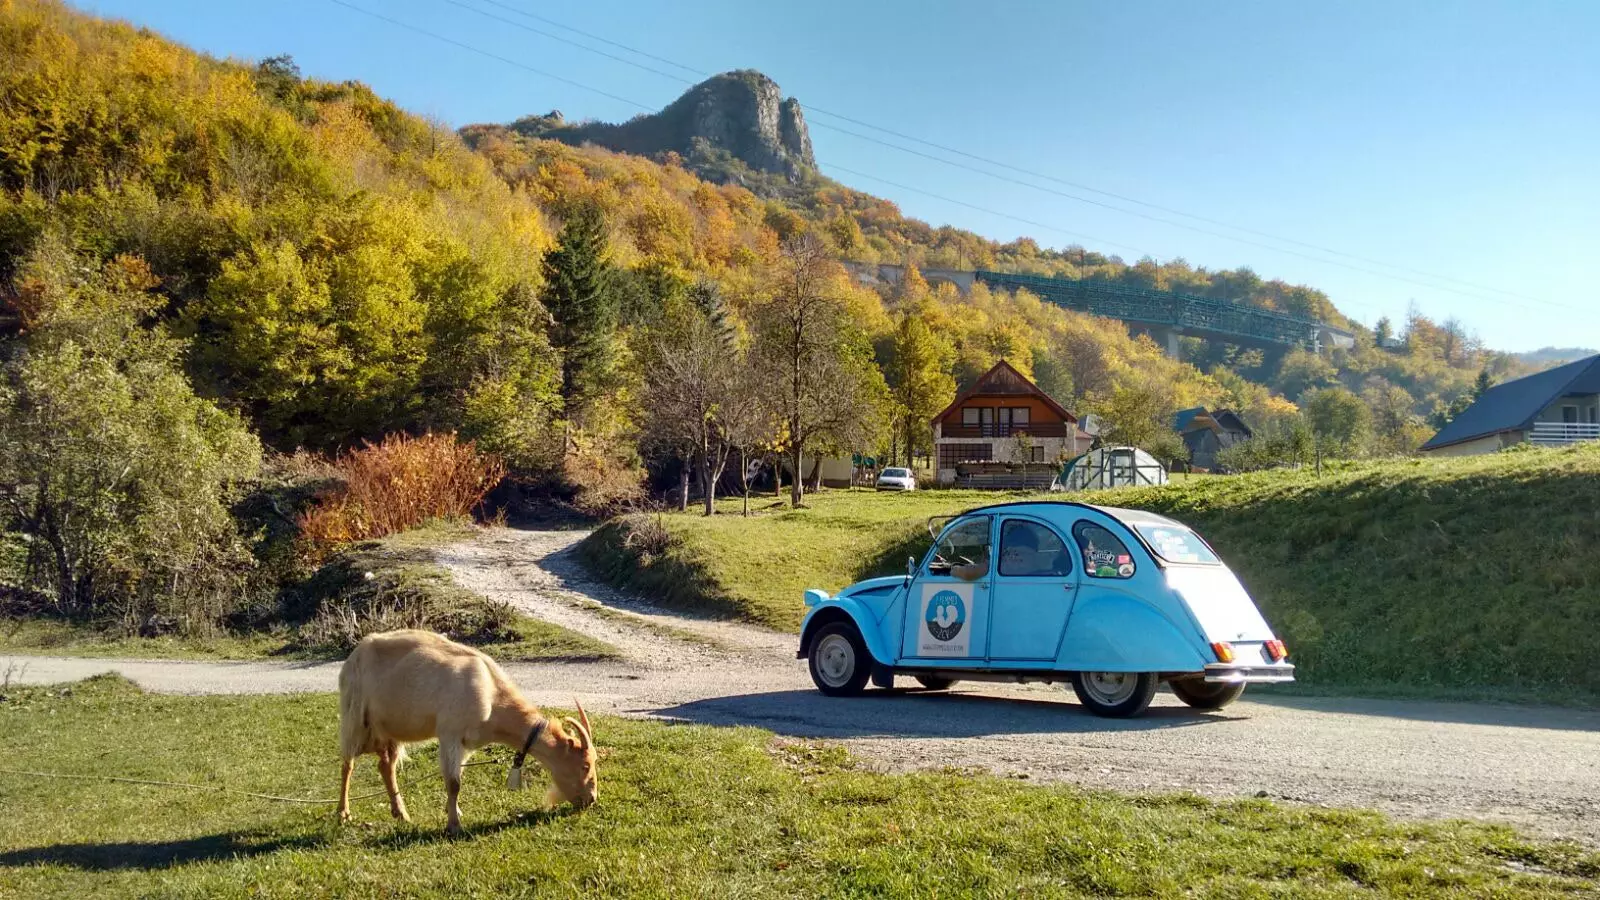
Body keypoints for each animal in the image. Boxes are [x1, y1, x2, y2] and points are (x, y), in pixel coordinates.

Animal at [334, 627, 598, 832]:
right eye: (585, 765)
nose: (591, 799)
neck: (491, 693)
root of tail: (353, 657)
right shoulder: (449, 734)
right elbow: (453, 782)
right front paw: (454, 825)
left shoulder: (466, 743)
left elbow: (457, 777)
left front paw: (455, 812)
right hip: (354, 716)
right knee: (348, 763)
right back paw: (343, 813)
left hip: (390, 730)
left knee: (386, 766)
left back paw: (401, 814)